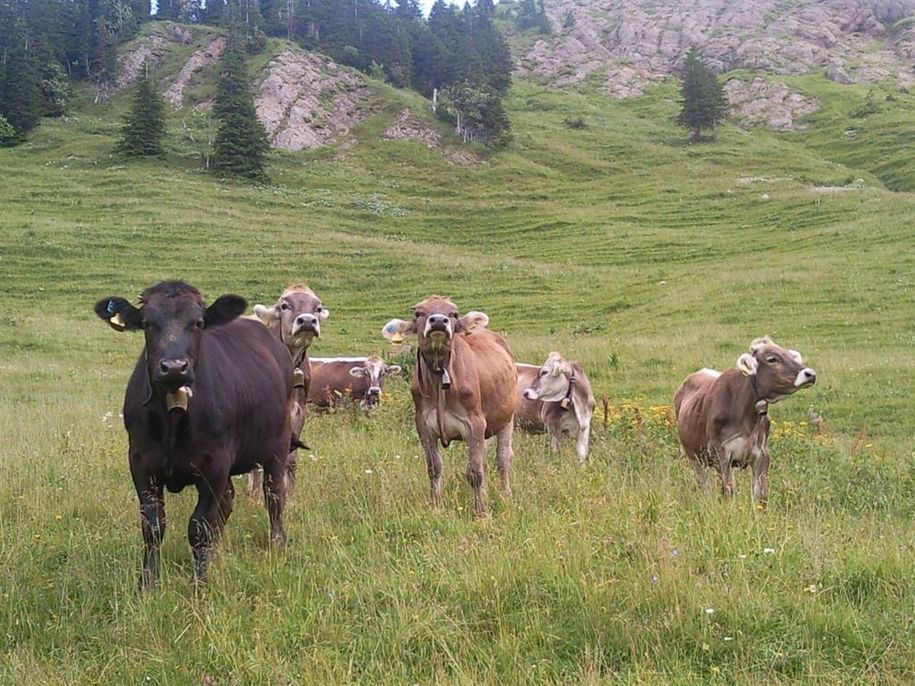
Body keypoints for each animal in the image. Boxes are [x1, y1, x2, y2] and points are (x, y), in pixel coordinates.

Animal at [95, 282, 294, 588]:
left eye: (198, 323)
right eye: (147, 323)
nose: (174, 367)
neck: (173, 419)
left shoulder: (215, 465)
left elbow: (199, 527)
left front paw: (199, 583)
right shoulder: (140, 463)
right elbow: (153, 526)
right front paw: (147, 583)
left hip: (278, 445)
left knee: (274, 496)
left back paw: (278, 544)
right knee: (228, 501)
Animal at [250, 284, 330, 494]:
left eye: (318, 308)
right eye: (285, 305)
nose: (307, 321)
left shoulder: (298, 411)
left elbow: (291, 458)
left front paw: (290, 493)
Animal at [382, 296, 520, 516]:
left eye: (454, 314)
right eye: (419, 313)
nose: (439, 321)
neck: (440, 374)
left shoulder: (475, 423)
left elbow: (475, 472)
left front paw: (481, 513)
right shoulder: (423, 425)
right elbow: (434, 468)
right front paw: (435, 507)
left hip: (507, 418)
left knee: (503, 458)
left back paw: (506, 495)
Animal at [676, 338, 820, 510]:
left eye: (791, 356)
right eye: (772, 359)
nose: (810, 374)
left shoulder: (762, 453)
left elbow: (760, 494)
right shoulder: (719, 452)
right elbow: (728, 489)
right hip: (693, 455)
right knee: (703, 484)